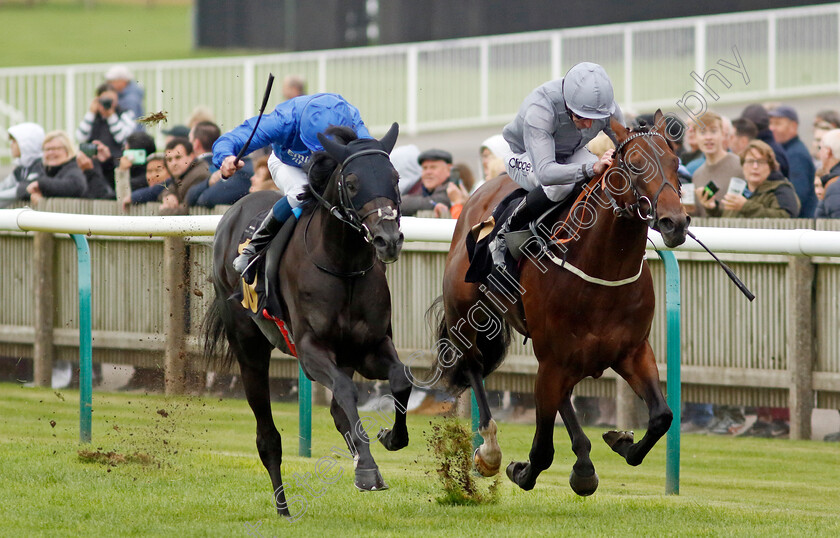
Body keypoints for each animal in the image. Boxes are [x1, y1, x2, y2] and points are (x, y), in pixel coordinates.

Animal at [204, 123, 414, 512]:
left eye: (394, 178)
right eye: (352, 182)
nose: (387, 240)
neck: (343, 265)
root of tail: (233, 210)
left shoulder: (370, 347)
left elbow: (401, 379)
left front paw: (390, 437)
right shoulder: (310, 350)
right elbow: (346, 391)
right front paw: (367, 470)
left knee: (337, 411)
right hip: (248, 347)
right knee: (267, 435)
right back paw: (283, 507)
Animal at [436, 109, 684, 494]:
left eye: (676, 162)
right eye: (634, 164)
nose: (676, 222)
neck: (603, 274)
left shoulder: (633, 351)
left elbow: (661, 416)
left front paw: (621, 441)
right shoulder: (552, 360)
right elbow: (542, 451)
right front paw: (520, 470)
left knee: (564, 396)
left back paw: (583, 461)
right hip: (465, 311)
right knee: (473, 364)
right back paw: (490, 450)